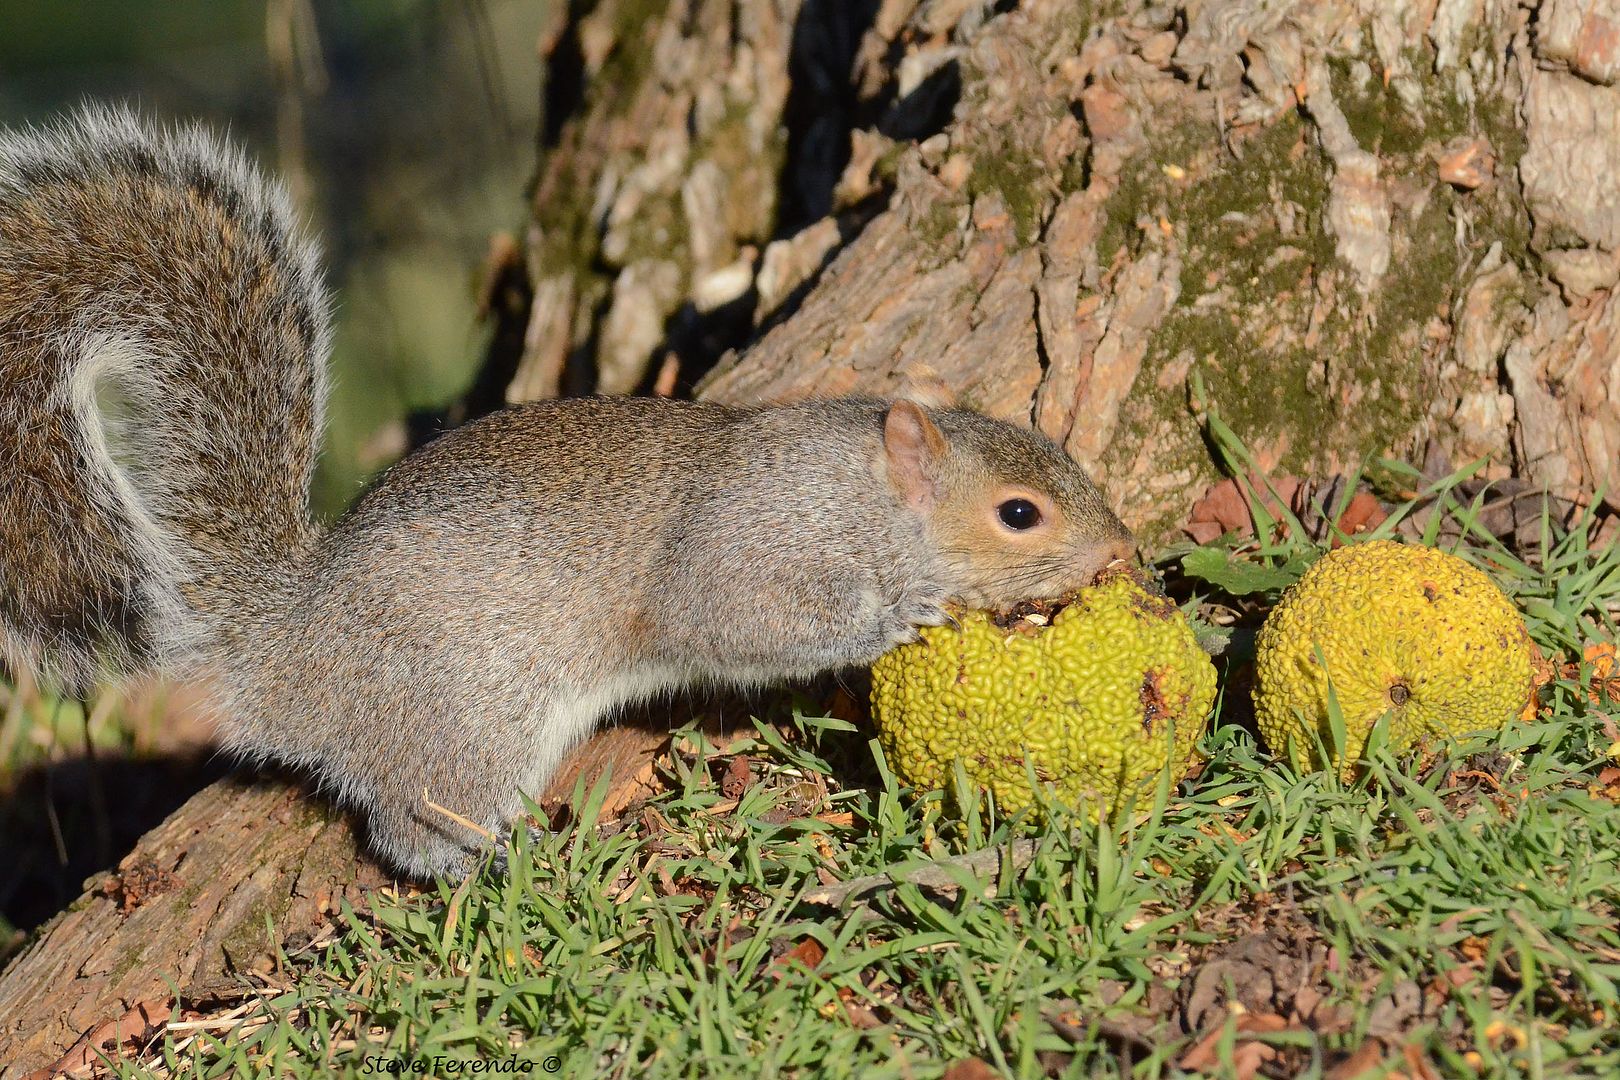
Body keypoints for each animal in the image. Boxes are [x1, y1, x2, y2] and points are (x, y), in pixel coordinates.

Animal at [0, 107, 1140, 880]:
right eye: (1019, 513)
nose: (1120, 556)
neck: (862, 492)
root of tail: (277, 649)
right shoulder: (755, 543)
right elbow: (736, 621)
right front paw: (895, 618)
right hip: (467, 717)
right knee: (412, 826)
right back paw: (504, 862)